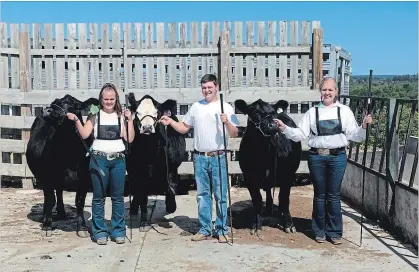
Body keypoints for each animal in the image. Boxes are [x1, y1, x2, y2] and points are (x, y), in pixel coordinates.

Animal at [26, 94, 99, 237]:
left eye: (70, 103)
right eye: (53, 103)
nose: (46, 111)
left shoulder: (85, 180)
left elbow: (79, 202)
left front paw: (82, 227)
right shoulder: (47, 177)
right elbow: (50, 199)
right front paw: (47, 225)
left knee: (59, 191)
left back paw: (61, 212)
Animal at [125, 93, 186, 232]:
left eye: (157, 113)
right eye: (137, 112)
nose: (147, 128)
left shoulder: (172, 167)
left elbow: (171, 187)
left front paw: (171, 206)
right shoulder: (137, 172)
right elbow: (142, 195)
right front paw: (144, 223)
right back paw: (133, 209)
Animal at [236, 99, 302, 235]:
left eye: (273, 112)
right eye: (254, 112)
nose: (273, 125)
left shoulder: (288, 176)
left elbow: (284, 198)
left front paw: (289, 224)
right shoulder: (249, 177)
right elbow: (257, 201)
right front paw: (256, 225)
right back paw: (268, 208)